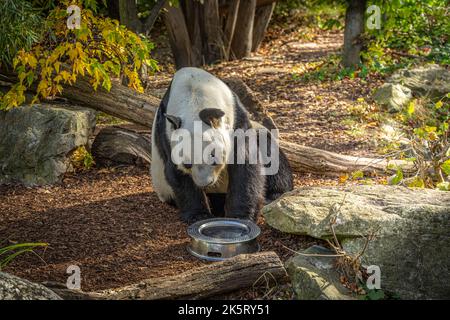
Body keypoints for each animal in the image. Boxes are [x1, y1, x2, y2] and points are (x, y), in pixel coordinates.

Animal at [151, 67, 292, 222]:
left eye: (213, 157)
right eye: (187, 164)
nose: (204, 183)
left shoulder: (236, 117)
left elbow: (245, 163)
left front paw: (240, 216)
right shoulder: (166, 133)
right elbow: (176, 173)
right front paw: (199, 216)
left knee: (271, 155)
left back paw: (273, 196)